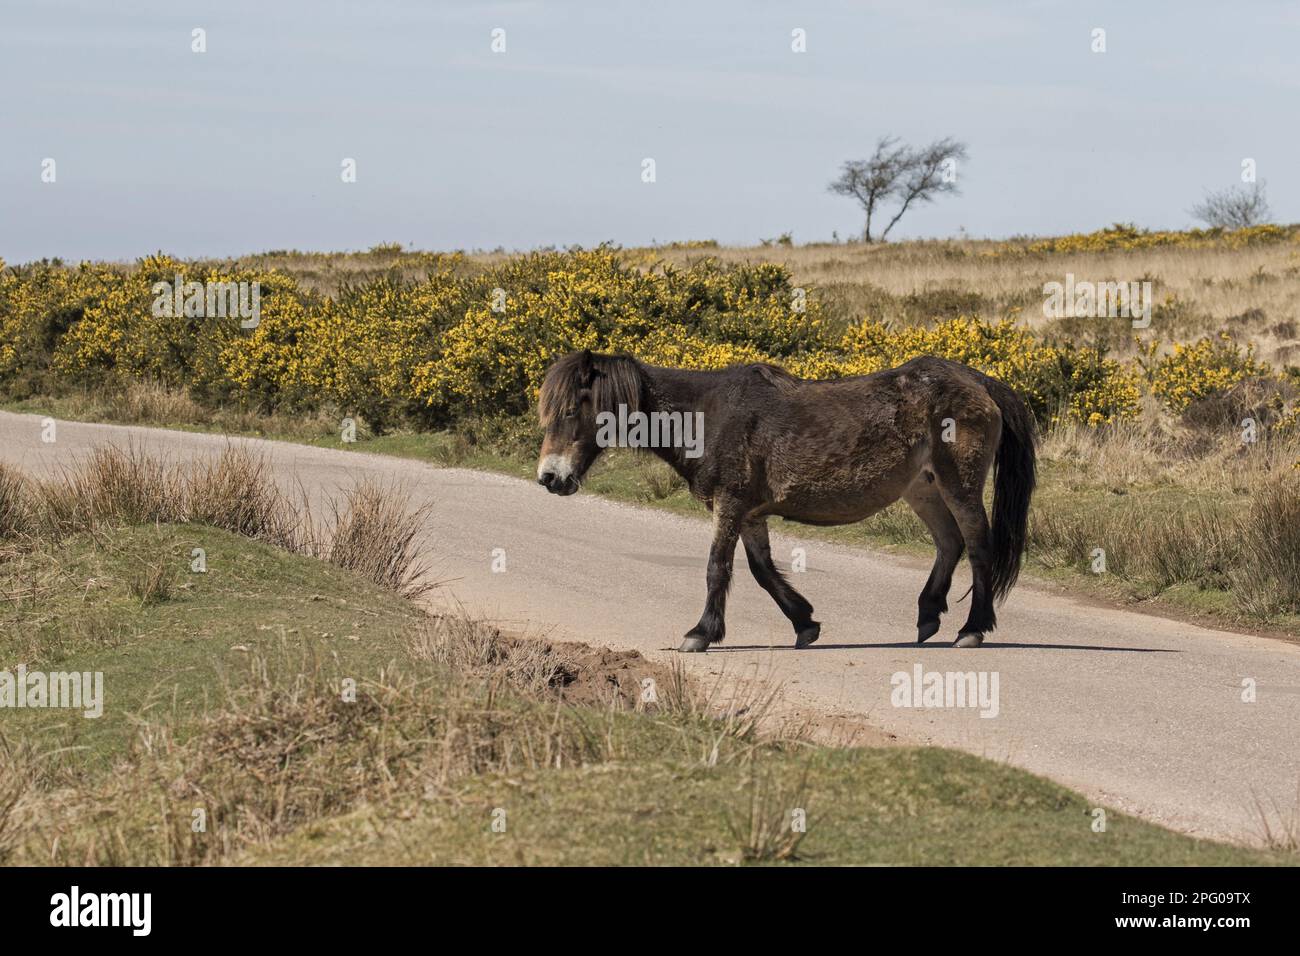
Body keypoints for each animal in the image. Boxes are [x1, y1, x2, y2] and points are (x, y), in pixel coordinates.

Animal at [535, 348, 1034, 650]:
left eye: (570, 410)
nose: (549, 477)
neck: (705, 416)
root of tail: (979, 381)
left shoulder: (730, 503)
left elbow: (717, 567)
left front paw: (701, 633)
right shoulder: (749, 512)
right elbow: (761, 570)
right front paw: (805, 623)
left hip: (958, 484)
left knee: (977, 545)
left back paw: (973, 629)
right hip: (923, 488)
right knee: (949, 543)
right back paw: (929, 615)